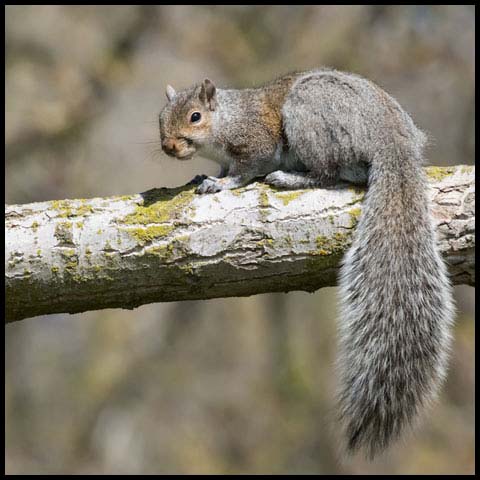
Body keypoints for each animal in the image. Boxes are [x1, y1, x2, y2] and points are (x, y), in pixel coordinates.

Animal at [159, 68, 456, 458]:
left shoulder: (257, 142)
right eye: (160, 118)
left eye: (195, 117)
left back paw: (290, 178)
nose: (168, 146)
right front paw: (204, 176)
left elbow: (245, 171)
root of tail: (394, 140)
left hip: (310, 117)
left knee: (327, 174)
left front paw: (220, 184)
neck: (227, 119)